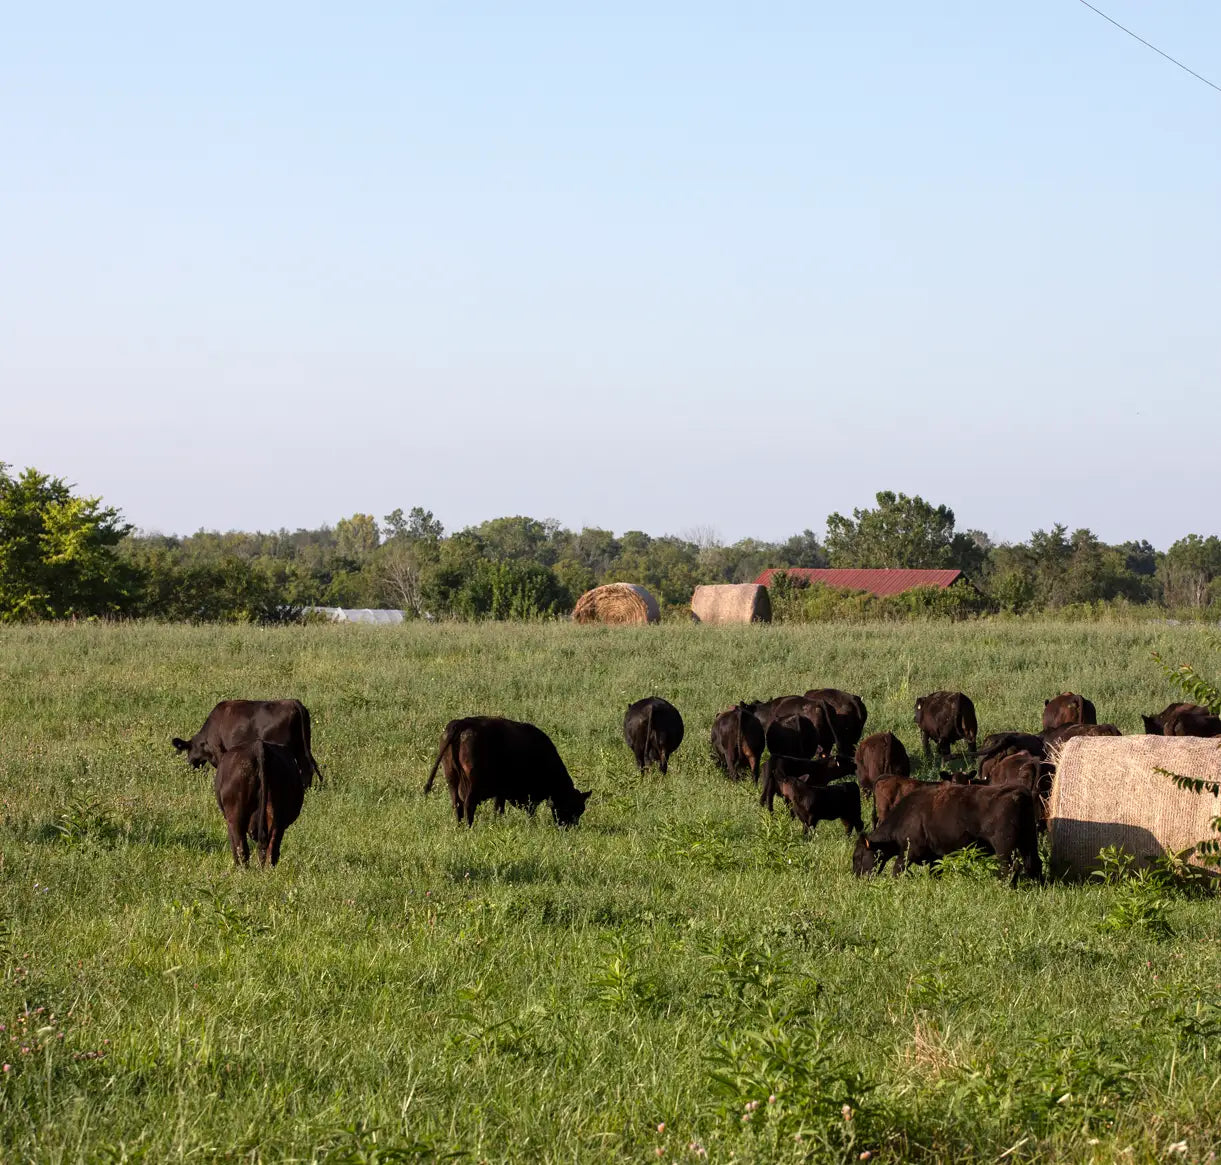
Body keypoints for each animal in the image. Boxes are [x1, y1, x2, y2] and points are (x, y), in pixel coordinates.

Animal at [172, 699, 321, 785]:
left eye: (188, 750)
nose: (190, 766)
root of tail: (293, 702)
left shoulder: (219, 750)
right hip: (301, 746)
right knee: (306, 767)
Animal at [423, 717, 590, 828]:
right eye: (571, 807)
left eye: (581, 810)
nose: (570, 827)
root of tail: (463, 722)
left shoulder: (501, 792)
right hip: (473, 785)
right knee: (468, 805)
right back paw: (468, 827)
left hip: (451, 779)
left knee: (457, 804)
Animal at [852, 783, 1042, 884]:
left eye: (858, 856)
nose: (856, 877)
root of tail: (1018, 791)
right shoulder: (935, 856)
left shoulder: (909, 851)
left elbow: (897, 868)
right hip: (1029, 841)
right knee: (1034, 863)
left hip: (1004, 846)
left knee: (1010, 867)